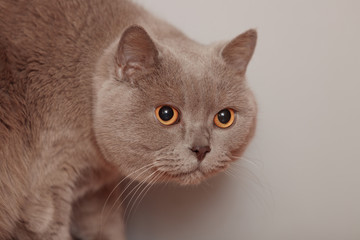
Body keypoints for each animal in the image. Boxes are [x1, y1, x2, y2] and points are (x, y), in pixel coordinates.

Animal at [1, 0, 258, 239]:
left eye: (224, 117)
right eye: (166, 114)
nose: (202, 149)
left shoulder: (98, 195)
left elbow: (108, 228)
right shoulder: (45, 193)